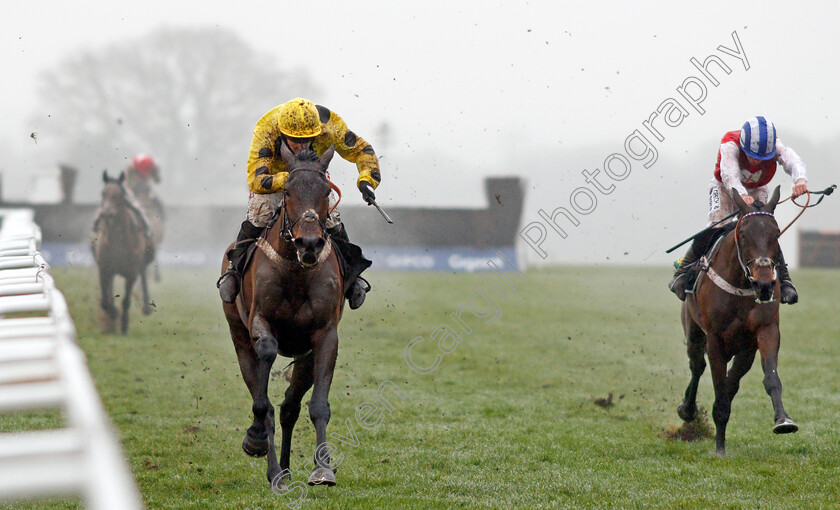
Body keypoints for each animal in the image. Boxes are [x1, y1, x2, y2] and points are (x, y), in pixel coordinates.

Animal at [92, 171, 155, 334]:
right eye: (103, 193)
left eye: (119, 195)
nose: (107, 215)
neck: (118, 239)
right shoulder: (104, 268)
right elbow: (104, 299)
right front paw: (112, 312)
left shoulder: (131, 272)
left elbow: (126, 300)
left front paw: (124, 324)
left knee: (143, 275)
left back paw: (146, 307)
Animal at [223, 144, 344, 490]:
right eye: (287, 191)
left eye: (326, 191)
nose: (310, 243)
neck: (296, 270)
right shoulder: (259, 320)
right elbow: (262, 399)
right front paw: (255, 440)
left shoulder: (325, 334)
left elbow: (317, 405)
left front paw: (323, 469)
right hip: (238, 334)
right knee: (264, 396)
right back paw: (274, 469)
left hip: (305, 356)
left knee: (290, 406)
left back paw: (287, 469)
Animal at [676, 185, 800, 456]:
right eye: (742, 234)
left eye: (776, 234)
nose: (764, 285)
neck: (742, 283)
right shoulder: (715, 339)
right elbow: (718, 384)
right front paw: (719, 448)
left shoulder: (764, 331)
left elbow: (770, 378)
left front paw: (783, 420)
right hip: (693, 331)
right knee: (697, 366)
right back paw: (687, 409)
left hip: (743, 348)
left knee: (731, 378)